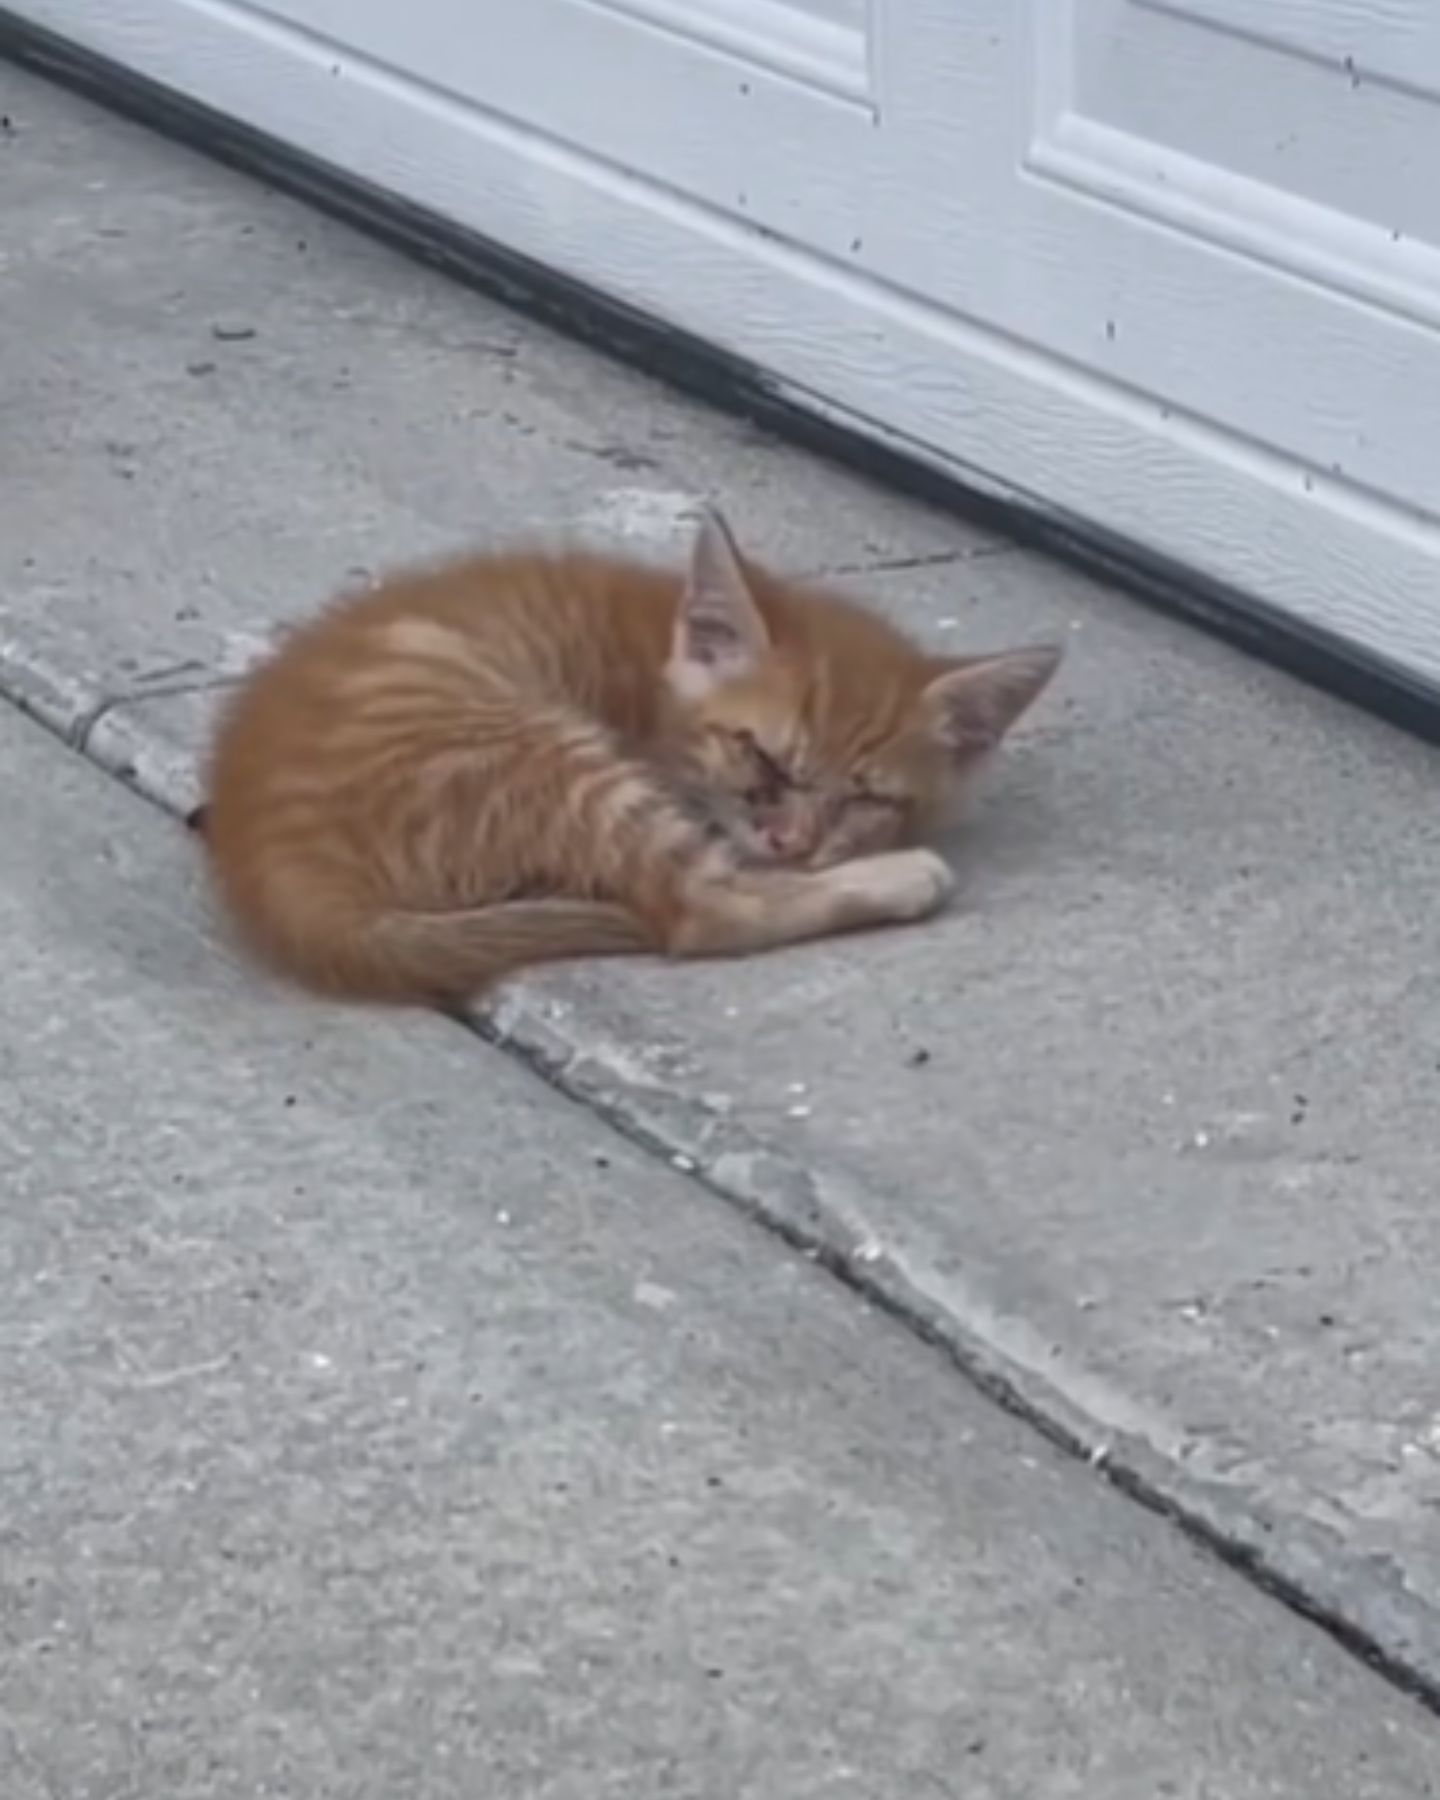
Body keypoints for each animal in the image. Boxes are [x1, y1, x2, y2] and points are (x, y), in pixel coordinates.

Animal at [194, 507, 1058, 1008]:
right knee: (704, 910)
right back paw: (902, 877)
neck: (653, 666)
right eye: (761, 758)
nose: (793, 843)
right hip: (548, 754)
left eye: (864, 799)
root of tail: (270, 863)